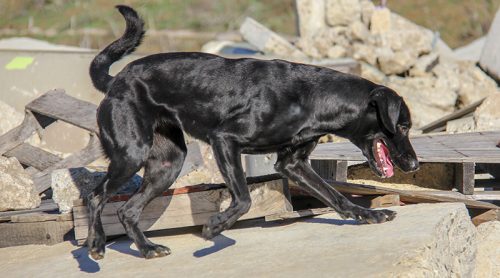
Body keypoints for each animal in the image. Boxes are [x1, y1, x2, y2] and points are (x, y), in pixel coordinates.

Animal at [86, 5, 418, 260]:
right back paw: (96, 245)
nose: (415, 165)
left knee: (127, 210)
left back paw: (147, 248)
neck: (314, 98)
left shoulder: (292, 164)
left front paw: (369, 215)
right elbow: (244, 199)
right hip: (132, 154)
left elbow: (335, 195)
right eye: (403, 126)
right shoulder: (225, 141)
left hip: (167, 165)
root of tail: (116, 81)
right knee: (95, 195)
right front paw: (214, 227)